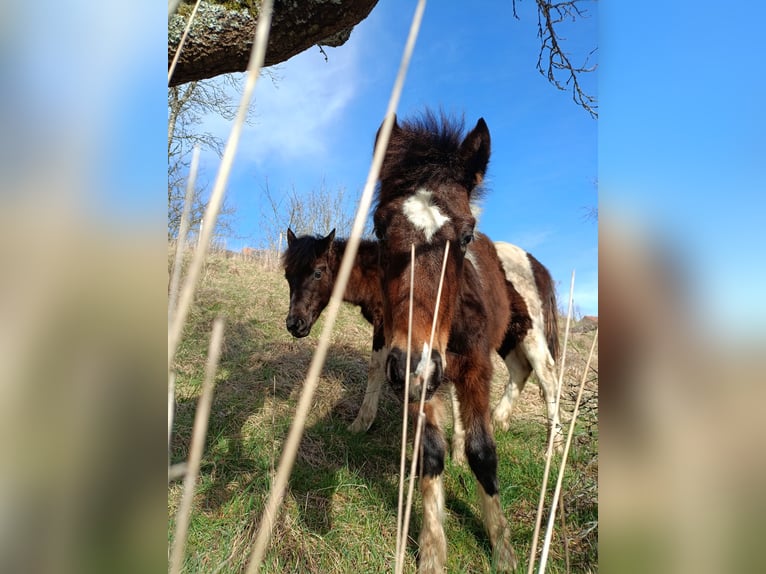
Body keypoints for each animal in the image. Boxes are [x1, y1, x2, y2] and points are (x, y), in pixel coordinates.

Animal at [376, 111, 520, 572]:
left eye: (467, 234)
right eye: (378, 229)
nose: (415, 366)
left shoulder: (476, 368)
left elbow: (483, 452)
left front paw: (503, 550)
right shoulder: (419, 382)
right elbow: (430, 455)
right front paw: (432, 553)